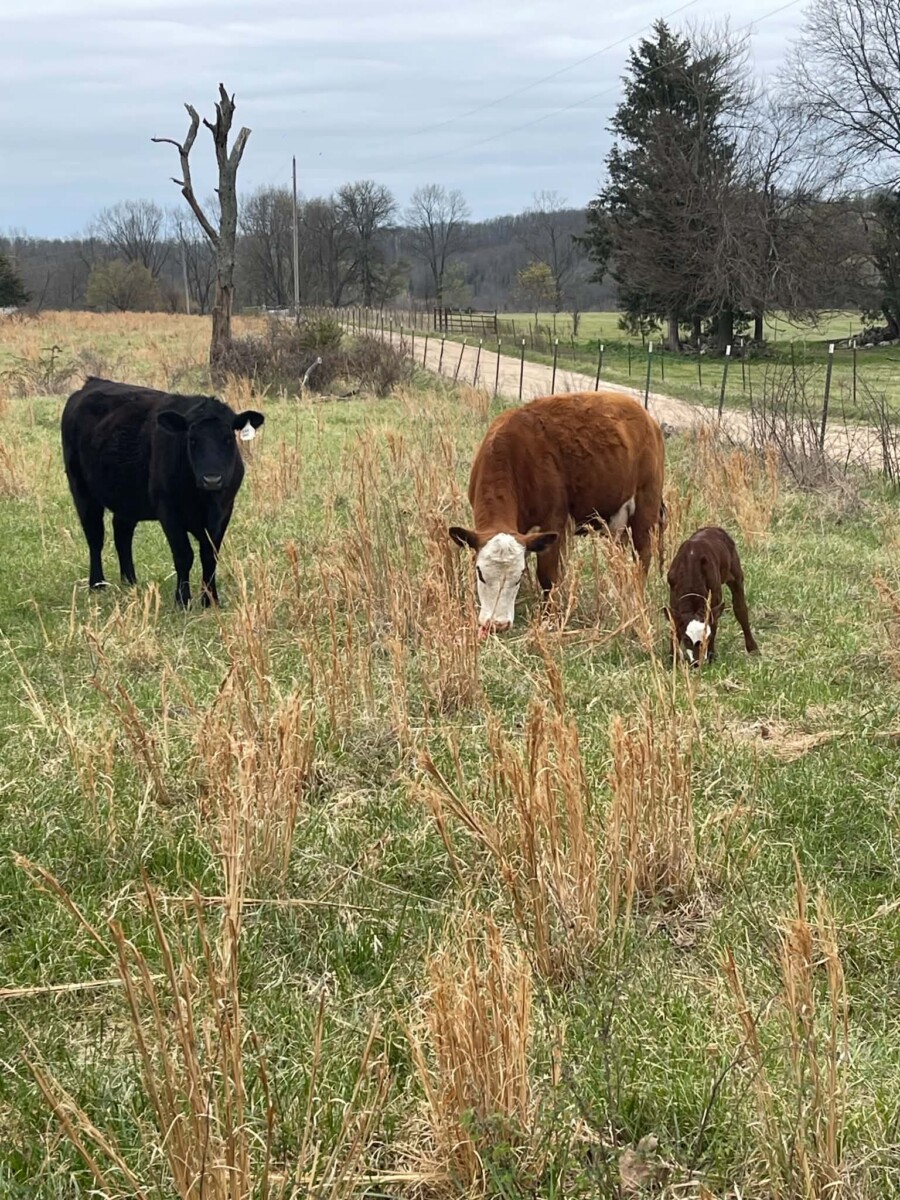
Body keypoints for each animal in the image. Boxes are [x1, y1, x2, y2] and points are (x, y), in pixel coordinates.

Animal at [61, 376, 264, 608]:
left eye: (228, 438)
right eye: (192, 439)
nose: (212, 479)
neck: (205, 500)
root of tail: (92, 382)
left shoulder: (224, 511)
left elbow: (210, 555)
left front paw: (210, 599)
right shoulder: (168, 511)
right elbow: (184, 555)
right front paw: (182, 600)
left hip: (127, 500)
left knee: (122, 534)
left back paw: (130, 582)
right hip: (81, 489)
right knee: (95, 536)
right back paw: (97, 584)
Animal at [448, 390, 666, 636]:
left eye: (518, 576)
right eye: (480, 573)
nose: (497, 624)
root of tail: (646, 417)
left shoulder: (553, 521)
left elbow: (547, 574)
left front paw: (549, 617)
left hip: (646, 507)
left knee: (642, 556)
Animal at [665, 526, 759, 667]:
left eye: (707, 638)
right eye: (687, 639)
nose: (697, 663)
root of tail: (712, 528)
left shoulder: (715, 597)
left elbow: (714, 624)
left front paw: (711, 656)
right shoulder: (674, 599)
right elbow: (674, 625)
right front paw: (673, 658)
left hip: (736, 575)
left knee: (740, 609)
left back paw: (753, 648)